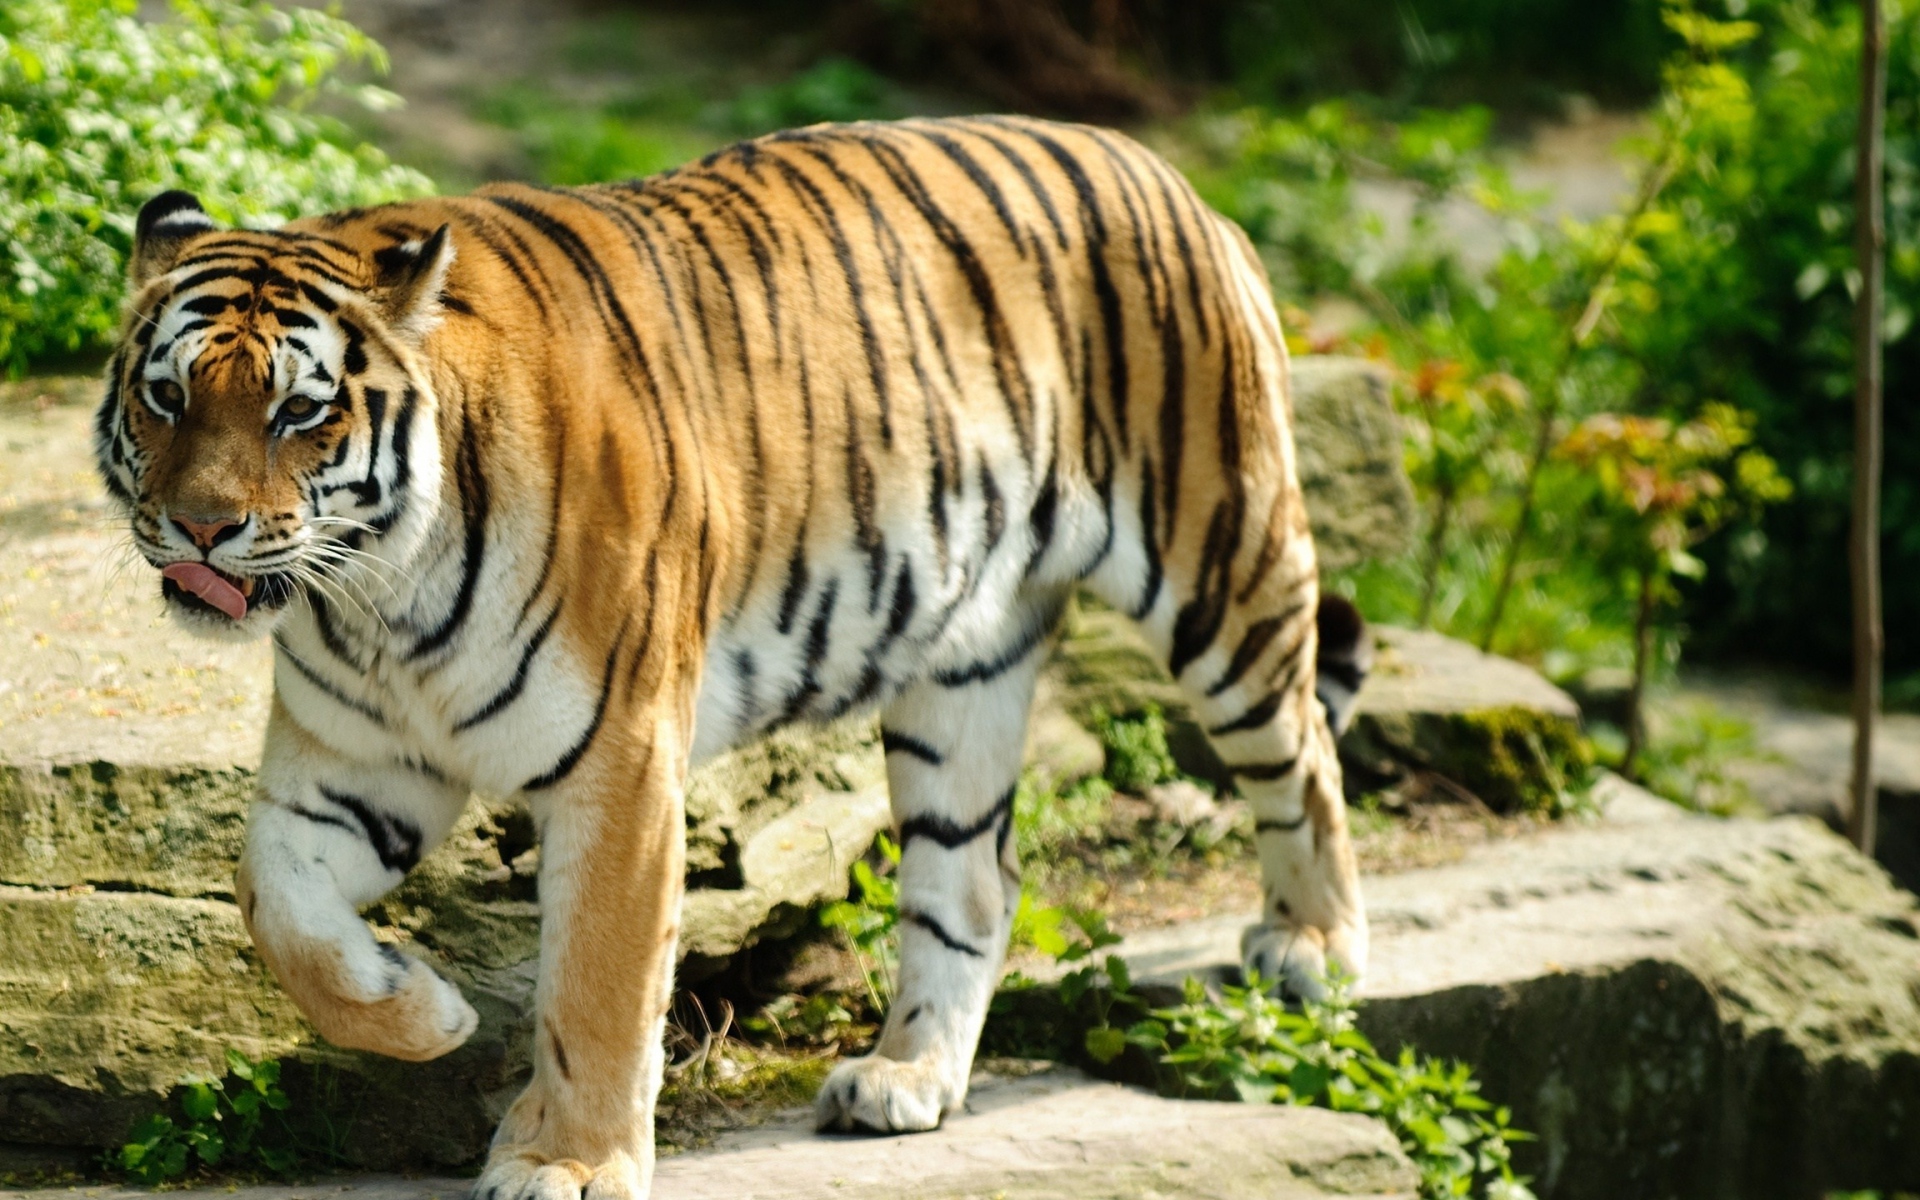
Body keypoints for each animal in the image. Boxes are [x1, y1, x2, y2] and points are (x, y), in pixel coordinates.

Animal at [97, 115, 1369, 1200]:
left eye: (298, 414)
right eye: (166, 398)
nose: (200, 528)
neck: (375, 599)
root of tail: (1172, 176)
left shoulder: (621, 767)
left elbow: (599, 988)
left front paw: (567, 1160)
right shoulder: (353, 764)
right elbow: (279, 908)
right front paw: (424, 1011)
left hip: (1222, 565)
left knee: (1304, 756)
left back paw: (1314, 950)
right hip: (962, 666)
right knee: (976, 878)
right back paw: (904, 1078)